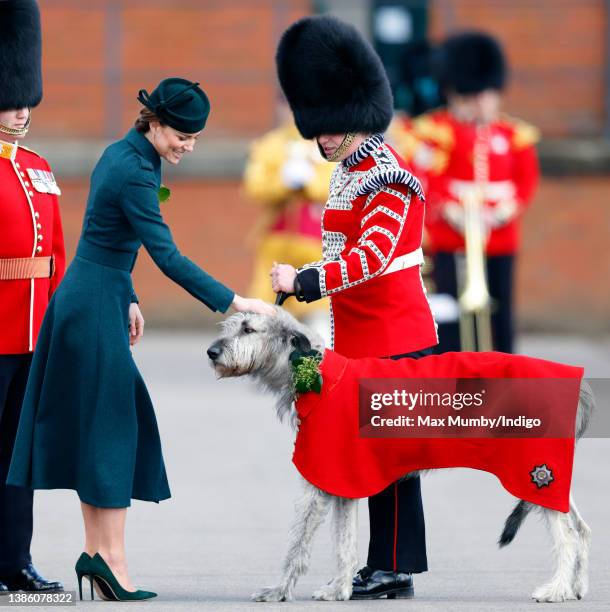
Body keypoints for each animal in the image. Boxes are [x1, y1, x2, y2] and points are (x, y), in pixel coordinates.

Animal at [207, 308, 592, 604]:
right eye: (230, 325)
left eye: (248, 328)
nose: (211, 351)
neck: (316, 374)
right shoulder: (342, 479)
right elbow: (344, 543)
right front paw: (340, 589)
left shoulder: (319, 481)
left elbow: (296, 545)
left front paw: (278, 591)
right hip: (551, 476)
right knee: (581, 528)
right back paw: (576, 587)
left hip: (536, 471)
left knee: (567, 535)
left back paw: (556, 590)